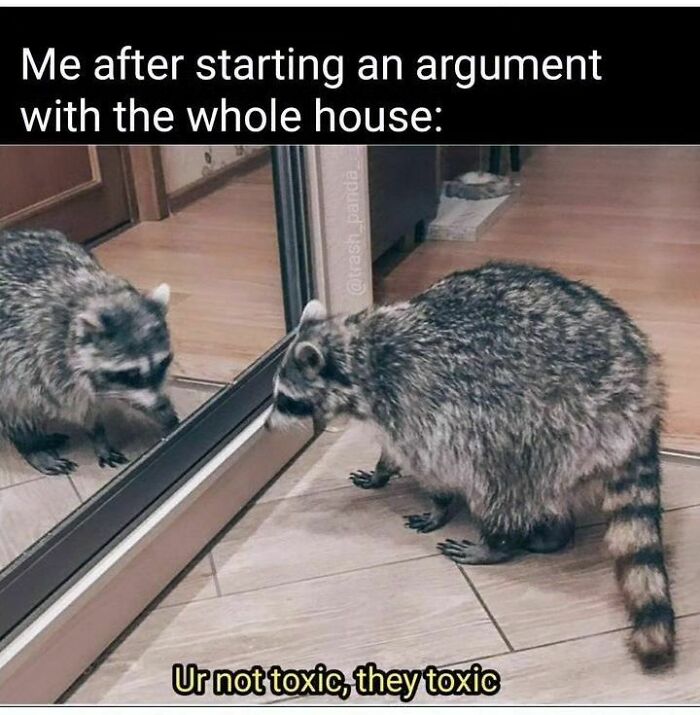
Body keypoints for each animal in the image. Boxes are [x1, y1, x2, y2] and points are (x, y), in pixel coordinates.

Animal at [0, 228, 179, 475]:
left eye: (163, 363)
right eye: (131, 374)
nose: (162, 406)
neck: (97, 295)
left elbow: (92, 403)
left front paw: (98, 433)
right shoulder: (29, 356)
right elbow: (24, 406)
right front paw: (31, 445)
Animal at [267, 262, 675, 670]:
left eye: (285, 400)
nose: (268, 426)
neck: (355, 352)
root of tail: (642, 389)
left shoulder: (414, 400)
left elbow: (431, 461)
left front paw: (438, 505)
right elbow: (392, 450)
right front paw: (382, 469)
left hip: (547, 423)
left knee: (499, 482)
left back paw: (499, 542)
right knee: (549, 490)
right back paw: (557, 531)